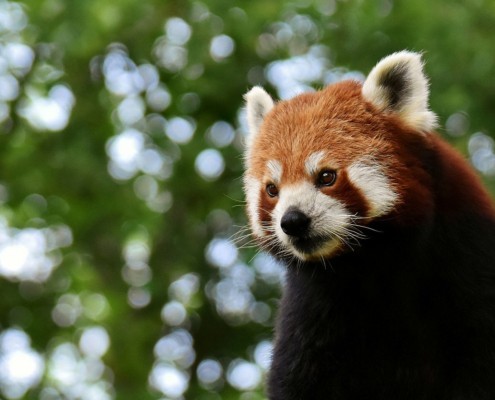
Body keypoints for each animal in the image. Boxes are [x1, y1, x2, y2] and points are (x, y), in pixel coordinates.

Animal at [243, 50, 495, 400]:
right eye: (272, 190)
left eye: (327, 176)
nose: (292, 221)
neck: (370, 262)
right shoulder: (312, 305)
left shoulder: (468, 258)